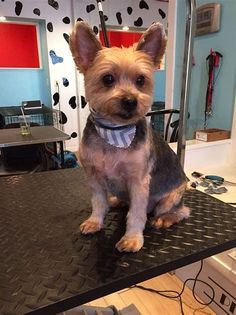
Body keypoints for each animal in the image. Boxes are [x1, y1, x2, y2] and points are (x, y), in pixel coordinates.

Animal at [69, 21, 189, 253]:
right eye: (107, 78)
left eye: (141, 80)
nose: (130, 100)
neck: (115, 131)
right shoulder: (94, 176)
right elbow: (98, 202)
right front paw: (94, 221)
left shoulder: (139, 181)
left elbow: (136, 214)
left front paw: (132, 239)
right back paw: (116, 200)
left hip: (172, 197)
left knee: (181, 211)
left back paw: (165, 218)